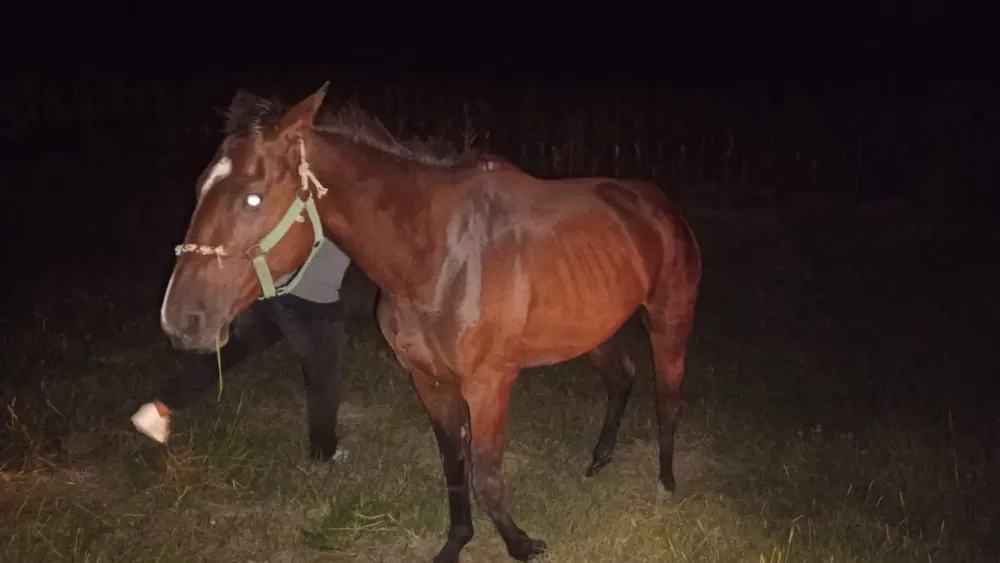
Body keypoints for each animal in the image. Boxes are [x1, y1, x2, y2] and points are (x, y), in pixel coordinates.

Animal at [159, 83, 702, 562]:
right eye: (199, 187)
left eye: (252, 198)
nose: (180, 318)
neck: (440, 253)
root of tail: (658, 204)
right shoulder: (429, 379)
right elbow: (453, 463)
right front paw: (457, 542)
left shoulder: (488, 385)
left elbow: (486, 472)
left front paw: (521, 545)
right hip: (592, 329)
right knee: (622, 379)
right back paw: (599, 460)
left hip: (668, 320)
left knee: (668, 399)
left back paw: (667, 482)